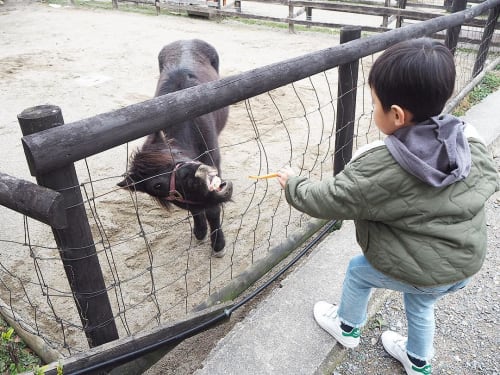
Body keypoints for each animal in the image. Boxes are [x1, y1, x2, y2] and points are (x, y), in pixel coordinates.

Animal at [118, 40, 232, 258]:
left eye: (176, 153)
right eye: (157, 185)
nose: (198, 172)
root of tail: (186, 40)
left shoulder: (213, 160)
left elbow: (213, 209)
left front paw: (218, 245)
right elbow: (196, 209)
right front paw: (200, 231)